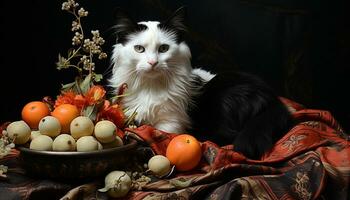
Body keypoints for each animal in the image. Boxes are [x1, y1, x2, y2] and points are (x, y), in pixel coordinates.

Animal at [108, 7, 294, 159]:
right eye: (139, 49)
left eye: (163, 49)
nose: (153, 63)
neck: (150, 87)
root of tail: (274, 100)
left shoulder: (171, 124)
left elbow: (160, 134)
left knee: (227, 135)